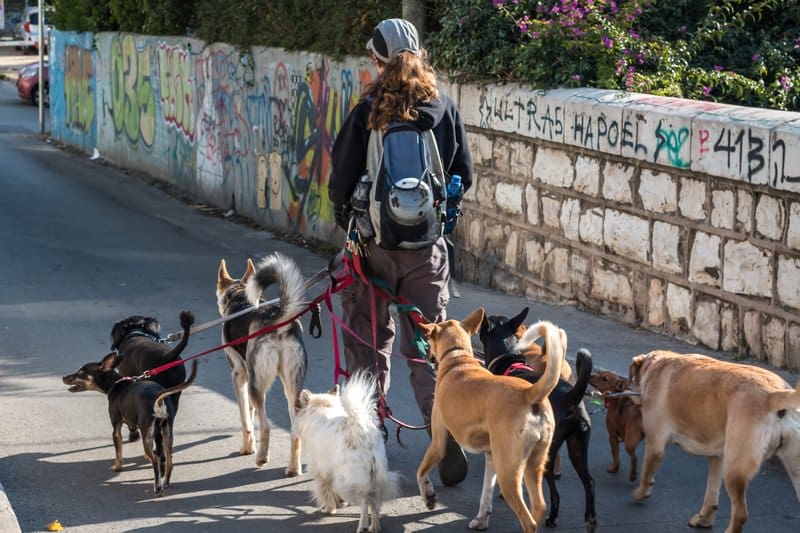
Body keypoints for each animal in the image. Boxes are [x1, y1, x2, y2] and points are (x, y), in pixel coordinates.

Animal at [63, 354, 198, 494]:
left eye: (80, 372)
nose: (63, 377)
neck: (115, 384)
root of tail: (158, 397)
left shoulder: (116, 429)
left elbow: (118, 452)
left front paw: (117, 467)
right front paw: (145, 456)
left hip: (147, 433)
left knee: (156, 459)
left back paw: (158, 487)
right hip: (167, 433)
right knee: (169, 461)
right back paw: (165, 482)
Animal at [294, 370, 400, 532]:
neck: (323, 408)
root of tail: (361, 432)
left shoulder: (321, 470)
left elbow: (326, 490)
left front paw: (330, 508)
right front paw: (339, 503)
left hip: (353, 480)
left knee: (365, 502)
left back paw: (362, 526)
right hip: (378, 476)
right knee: (375, 504)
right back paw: (375, 527)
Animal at [418, 306, 564, 532]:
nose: (427, 355)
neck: (458, 357)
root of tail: (529, 394)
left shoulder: (438, 442)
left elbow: (421, 473)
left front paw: (429, 497)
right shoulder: (490, 456)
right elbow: (486, 495)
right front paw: (481, 520)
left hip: (509, 473)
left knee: (528, 519)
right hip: (532, 463)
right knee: (539, 506)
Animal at [478, 310, 596, 528]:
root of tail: (570, 397)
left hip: (546, 454)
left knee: (554, 494)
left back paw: (552, 517)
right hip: (578, 448)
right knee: (589, 483)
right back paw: (590, 520)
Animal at [628, 350, 796, 532]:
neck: (654, 365)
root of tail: (773, 394)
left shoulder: (655, 445)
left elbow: (646, 472)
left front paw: (641, 492)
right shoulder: (717, 458)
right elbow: (712, 494)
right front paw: (705, 520)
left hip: (734, 470)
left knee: (741, 513)